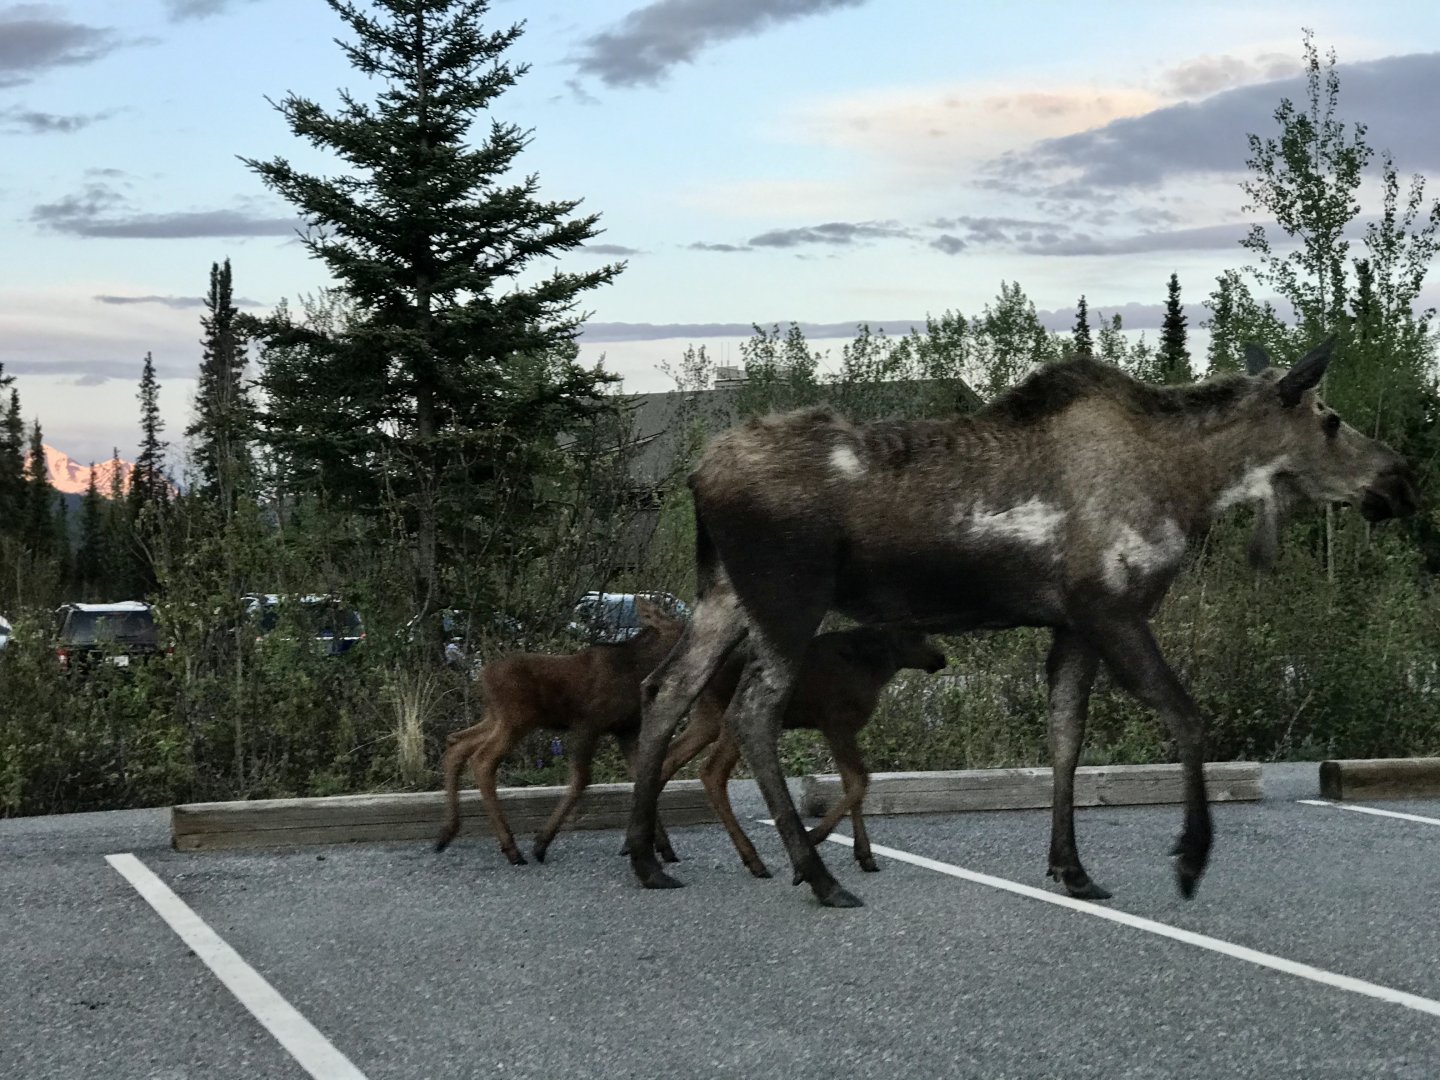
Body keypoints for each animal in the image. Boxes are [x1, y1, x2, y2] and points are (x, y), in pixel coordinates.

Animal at [622, 336, 1419, 908]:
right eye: (1330, 419)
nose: (1400, 477)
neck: (1193, 487)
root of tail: (696, 475)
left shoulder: (1074, 625)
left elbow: (1066, 739)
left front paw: (1072, 868)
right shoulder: (1112, 608)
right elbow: (1187, 717)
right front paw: (1190, 858)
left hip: (725, 596)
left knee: (665, 690)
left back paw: (647, 858)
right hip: (787, 599)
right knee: (752, 712)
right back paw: (816, 875)